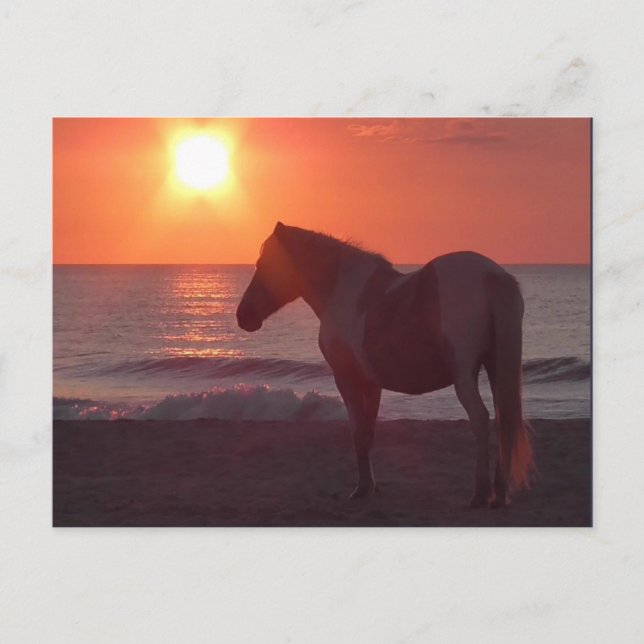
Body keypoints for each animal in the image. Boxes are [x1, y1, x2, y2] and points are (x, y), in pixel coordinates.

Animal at [236, 222, 534, 508]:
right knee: (504, 420)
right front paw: (370, 487)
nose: (243, 316)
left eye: (264, 264)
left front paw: (361, 489)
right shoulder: (372, 383)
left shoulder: (346, 378)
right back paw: (499, 493)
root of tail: (492, 275)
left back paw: (480, 495)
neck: (343, 292)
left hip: (464, 377)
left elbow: (358, 431)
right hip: (495, 368)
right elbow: (369, 431)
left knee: (481, 420)